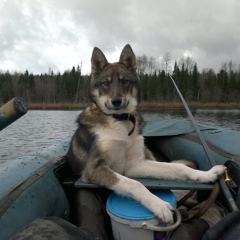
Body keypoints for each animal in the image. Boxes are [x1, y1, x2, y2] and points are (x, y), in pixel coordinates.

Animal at [66, 44, 227, 224]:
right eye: (105, 83)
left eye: (125, 81)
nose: (116, 101)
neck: (120, 120)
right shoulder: (94, 170)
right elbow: (134, 184)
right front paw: (159, 205)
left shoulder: (135, 164)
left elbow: (177, 167)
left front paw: (206, 175)